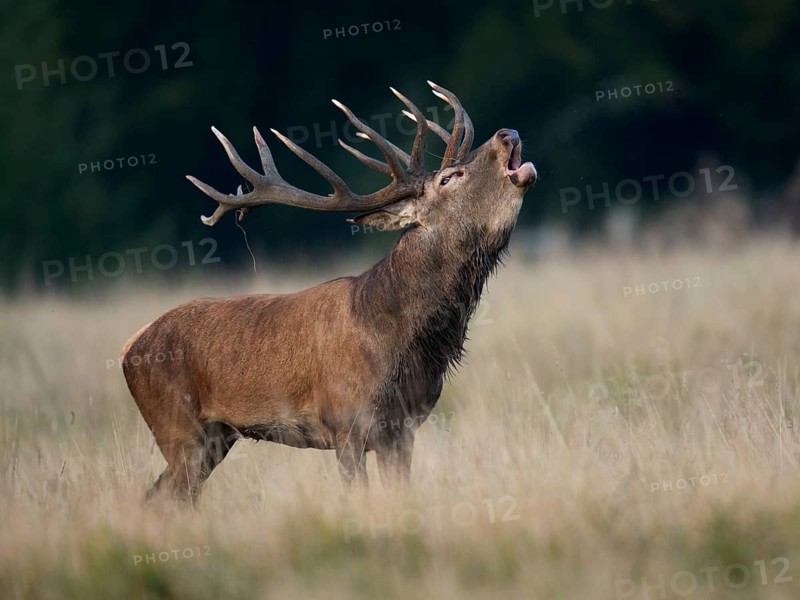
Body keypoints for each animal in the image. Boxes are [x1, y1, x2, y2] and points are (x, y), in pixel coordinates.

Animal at [122, 81, 537, 504]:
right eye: (448, 179)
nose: (507, 133)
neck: (399, 339)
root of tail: (129, 347)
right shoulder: (346, 423)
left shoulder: (403, 430)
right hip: (177, 428)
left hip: (215, 437)